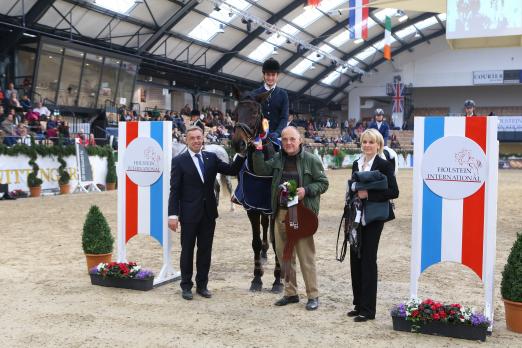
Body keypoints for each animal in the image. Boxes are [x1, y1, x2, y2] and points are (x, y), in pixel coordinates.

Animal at [230, 87, 282, 294]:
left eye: (254, 113)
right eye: (234, 114)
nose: (238, 144)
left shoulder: (274, 208)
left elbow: (277, 241)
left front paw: (278, 281)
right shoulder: (252, 207)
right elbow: (255, 242)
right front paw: (257, 279)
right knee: (264, 227)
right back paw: (264, 254)